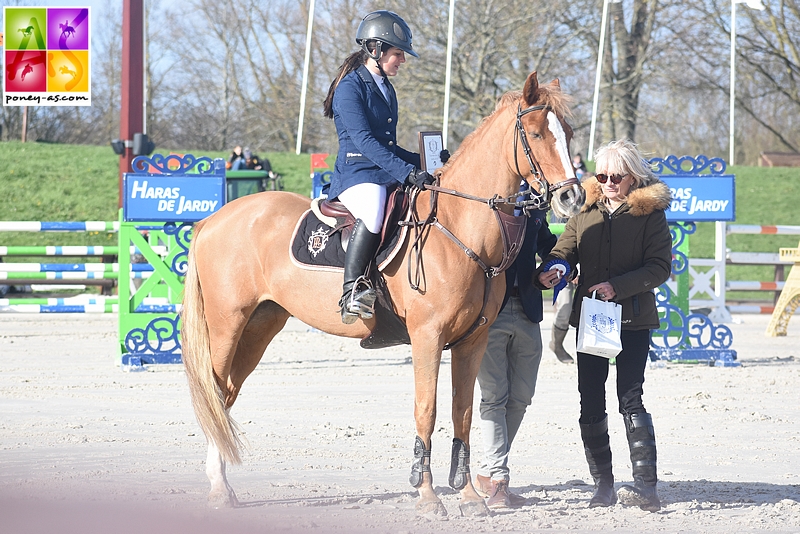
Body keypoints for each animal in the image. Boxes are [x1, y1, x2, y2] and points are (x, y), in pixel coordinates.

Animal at [180, 71, 580, 520]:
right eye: (536, 133)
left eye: (568, 133)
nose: (573, 197)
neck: (458, 226)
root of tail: (213, 219)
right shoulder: (427, 338)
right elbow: (427, 411)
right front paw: (427, 495)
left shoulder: (472, 340)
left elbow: (461, 414)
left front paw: (469, 497)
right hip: (227, 326)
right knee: (215, 393)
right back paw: (218, 489)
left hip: (260, 326)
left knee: (226, 396)